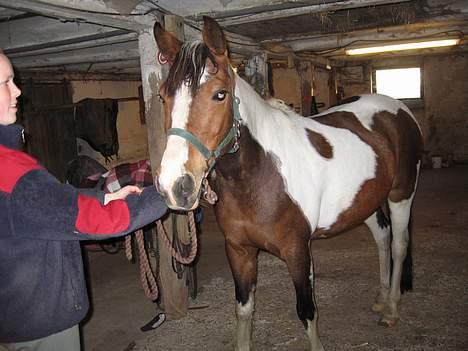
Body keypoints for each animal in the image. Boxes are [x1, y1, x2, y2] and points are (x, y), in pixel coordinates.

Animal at [153, 17, 424, 351]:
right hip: (367, 201)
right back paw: (382, 298)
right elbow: (244, 310)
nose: (174, 185)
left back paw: (392, 310)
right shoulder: (240, 251)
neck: (261, 175)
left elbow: (307, 311)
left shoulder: (298, 251)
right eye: (162, 95)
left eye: (220, 94)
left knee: (399, 244)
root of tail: (397, 108)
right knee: (382, 238)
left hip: (402, 193)